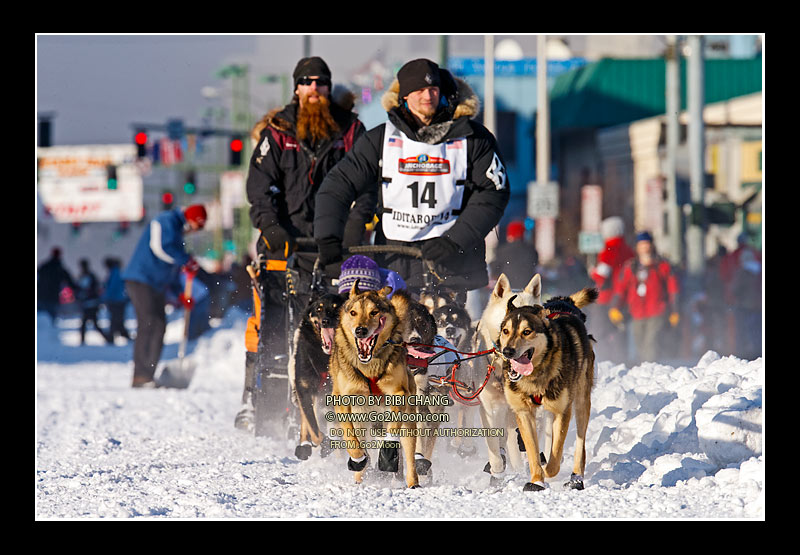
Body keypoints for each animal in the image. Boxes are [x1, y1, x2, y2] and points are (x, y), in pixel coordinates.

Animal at [328, 280, 422, 488]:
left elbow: (393, 428)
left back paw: (412, 482)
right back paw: (360, 477)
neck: (369, 366)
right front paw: (358, 459)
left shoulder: (398, 393)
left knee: (409, 453)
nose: (360, 330)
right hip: (362, 419)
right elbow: (350, 437)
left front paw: (388, 452)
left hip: (408, 422)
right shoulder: (343, 399)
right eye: (353, 312)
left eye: (374, 312)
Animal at [496, 292, 596, 490]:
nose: (507, 351)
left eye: (527, 332)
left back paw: (576, 478)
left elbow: (556, 454)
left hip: (581, 402)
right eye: (506, 331)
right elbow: (532, 450)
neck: (535, 377)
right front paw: (536, 480)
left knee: (580, 445)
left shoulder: (562, 410)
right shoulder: (523, 412)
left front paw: (547, 472)